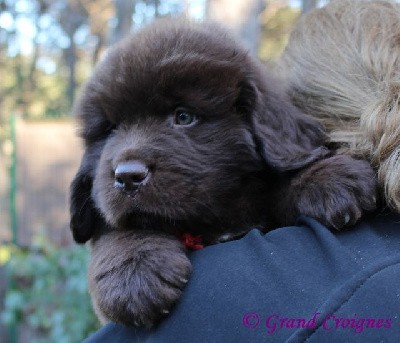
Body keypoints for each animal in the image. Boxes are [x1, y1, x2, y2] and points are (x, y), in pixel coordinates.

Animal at [69, 19, 378, 328]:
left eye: (183, 116)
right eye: (110, 129)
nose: (127, 176)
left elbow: (280, 180)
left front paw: (328, 178)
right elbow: (117, 230)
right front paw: (134, 274)